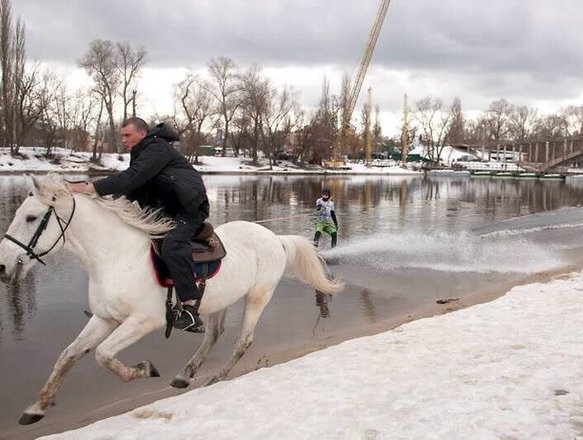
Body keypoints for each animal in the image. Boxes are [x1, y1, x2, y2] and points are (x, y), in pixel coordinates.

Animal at [0, 174, 344, 425]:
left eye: (31, 218)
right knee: (213, 336)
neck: (116, 257)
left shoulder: (143, 321)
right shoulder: (104, 318)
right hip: (221, 301)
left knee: (242, 342)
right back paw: (185, 375)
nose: (3, 267)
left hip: (258, 296)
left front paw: (144, 369)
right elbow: (68, 356)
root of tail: (276, 239)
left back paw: (215, 377)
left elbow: (102, 355)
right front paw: (37, 407)